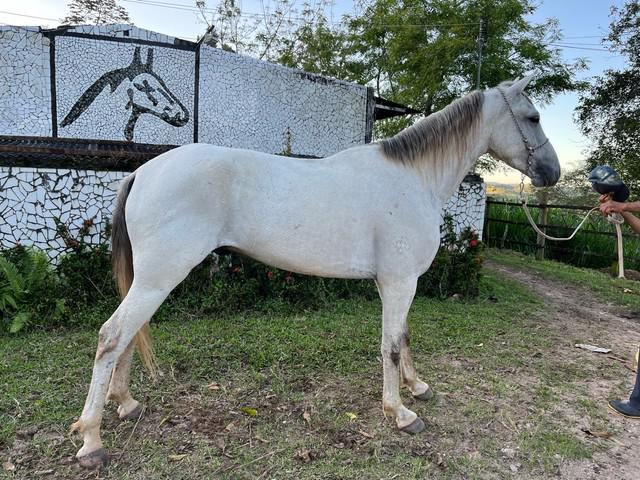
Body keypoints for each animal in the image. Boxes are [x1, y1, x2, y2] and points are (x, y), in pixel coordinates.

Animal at [71, 77, 560, 466]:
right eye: (533, 117)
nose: (552, 173)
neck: (412, 179)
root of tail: (142, 171)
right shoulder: (399, 282)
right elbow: (391, 347)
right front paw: (400, 413)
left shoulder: (398, 284)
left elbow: (403, 337)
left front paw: (417, 387)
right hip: (158, 279)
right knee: (112, 336)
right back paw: (92, 441)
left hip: (151, 281)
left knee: (130, 336)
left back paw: (126, 404)